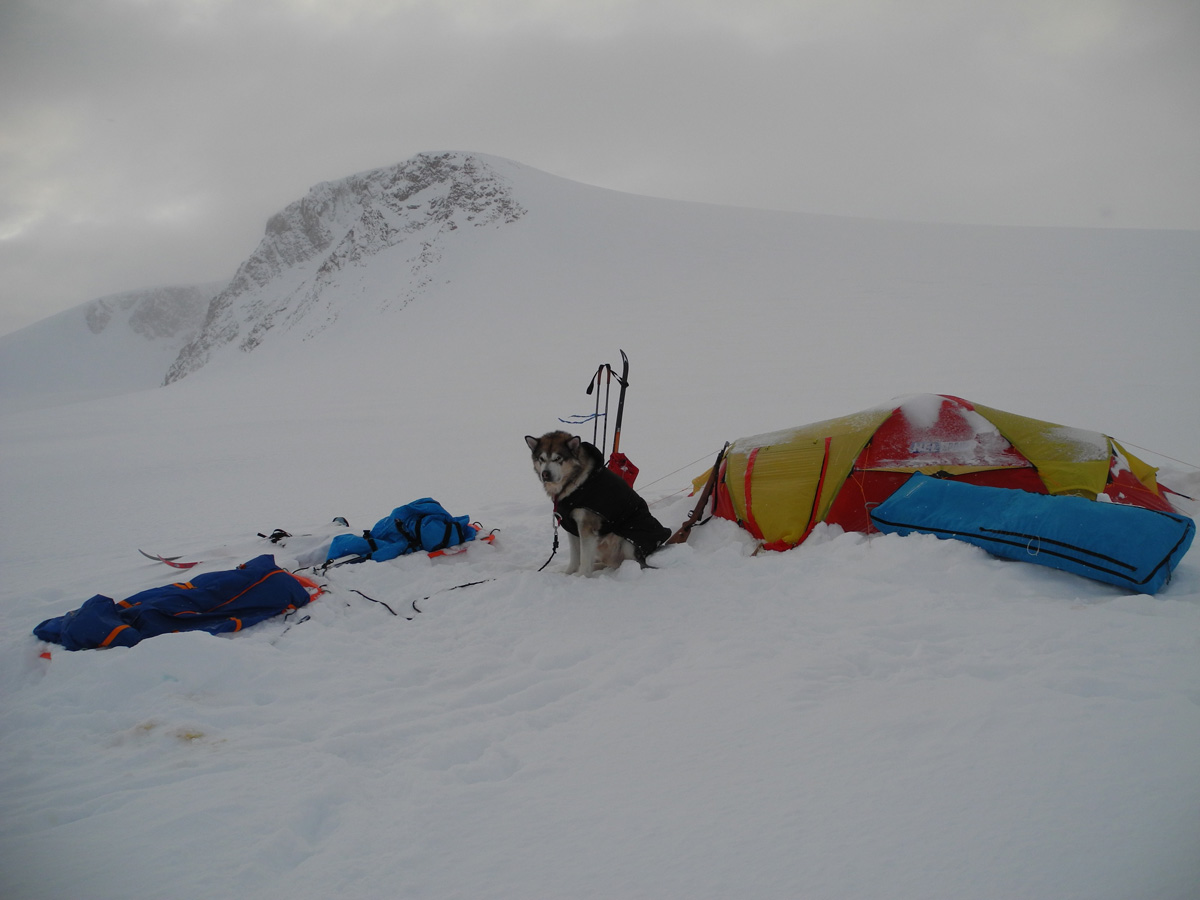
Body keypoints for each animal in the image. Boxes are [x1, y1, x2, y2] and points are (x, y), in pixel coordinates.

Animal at [525, 432, 676, 578]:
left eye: (558, 458)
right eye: (541, 459)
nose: (545, 474)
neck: (575, 483)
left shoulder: (587, 527)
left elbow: (585, 558)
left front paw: (581, 576)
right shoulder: (572, 528)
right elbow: (575, 557)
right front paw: (568, 574)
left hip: (627, 542)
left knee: (632, 563)